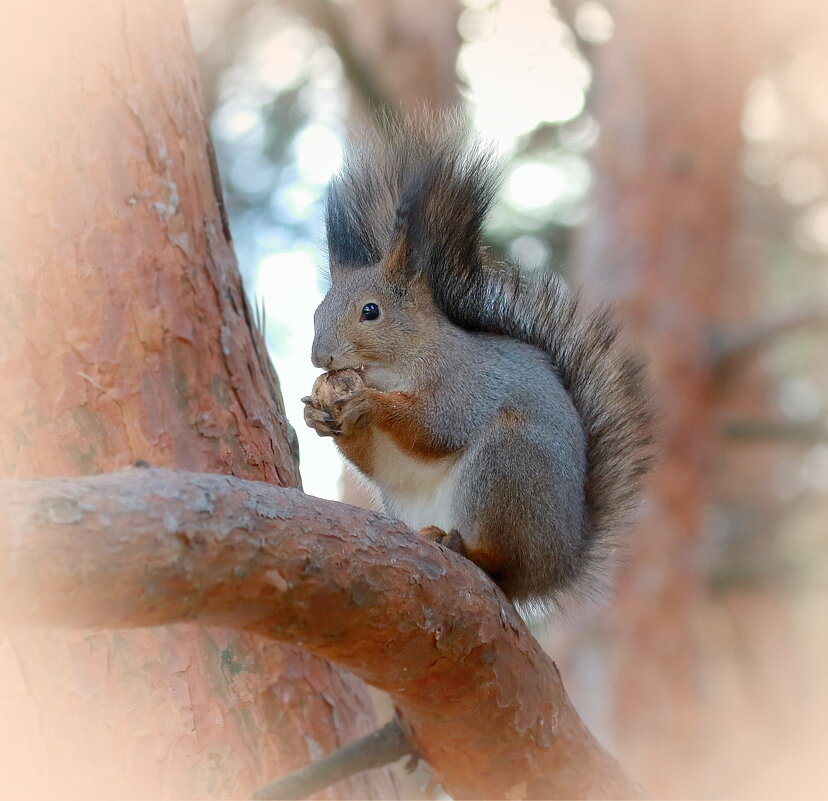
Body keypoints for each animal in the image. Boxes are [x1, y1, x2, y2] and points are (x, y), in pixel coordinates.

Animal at [300, 114, 652, 608]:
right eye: (317, 311)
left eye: (371, 311)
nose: (320, 357)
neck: (403, 364)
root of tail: (557, 567)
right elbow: (377, 460)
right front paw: (317, 416)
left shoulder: (467, 381)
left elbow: (438, 426)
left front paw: (370, 404)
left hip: (507, 467)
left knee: (502, 561)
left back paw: (467, 548)